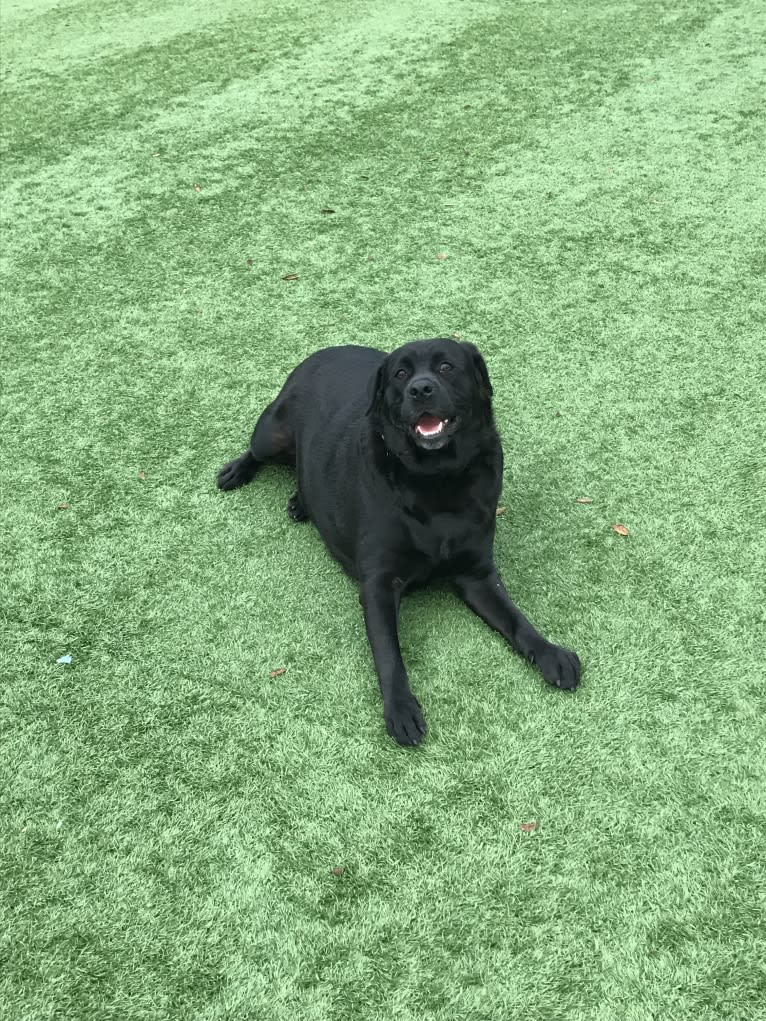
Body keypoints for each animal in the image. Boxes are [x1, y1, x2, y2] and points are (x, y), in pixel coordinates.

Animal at [217, 338, 580, 747]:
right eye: (402, 374)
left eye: (446, 367)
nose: (420, 389)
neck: (437, 481)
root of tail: (325, 350)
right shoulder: (378, 585)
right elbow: (389, 654)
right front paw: (401, 708)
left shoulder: (478, 575)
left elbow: (517, 619)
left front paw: (550, 652)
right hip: (271, 433)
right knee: (257, 451)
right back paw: (237, 471)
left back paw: (300, 502)